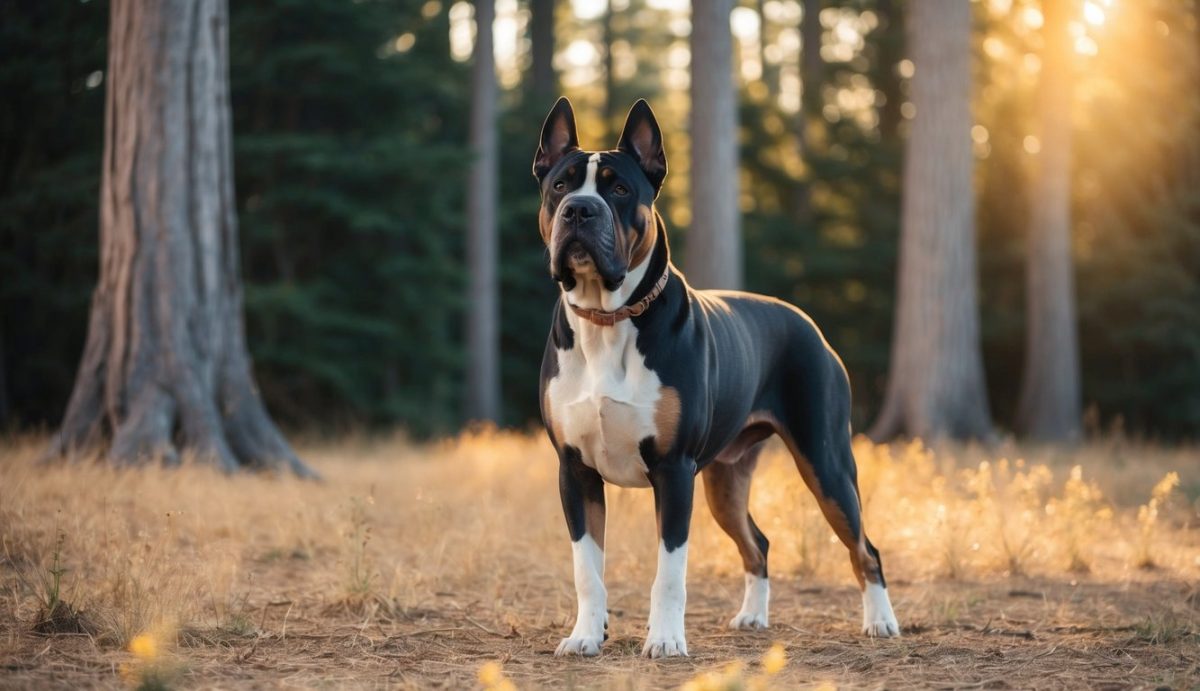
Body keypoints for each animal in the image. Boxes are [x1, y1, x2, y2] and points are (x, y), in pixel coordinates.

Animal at [537, 97, 902, 657]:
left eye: (619, 190)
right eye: (560, 185)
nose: (580, 209)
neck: (608, 319)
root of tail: (809, 325)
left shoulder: (673, 471)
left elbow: (669, 572)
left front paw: (665, 640)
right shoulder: (575, 472)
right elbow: (587, 568)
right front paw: (586, 635)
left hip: (827, 464)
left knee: (866, 547)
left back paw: (881, 621)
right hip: (725, 482)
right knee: (758, 542)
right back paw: (753, 615)